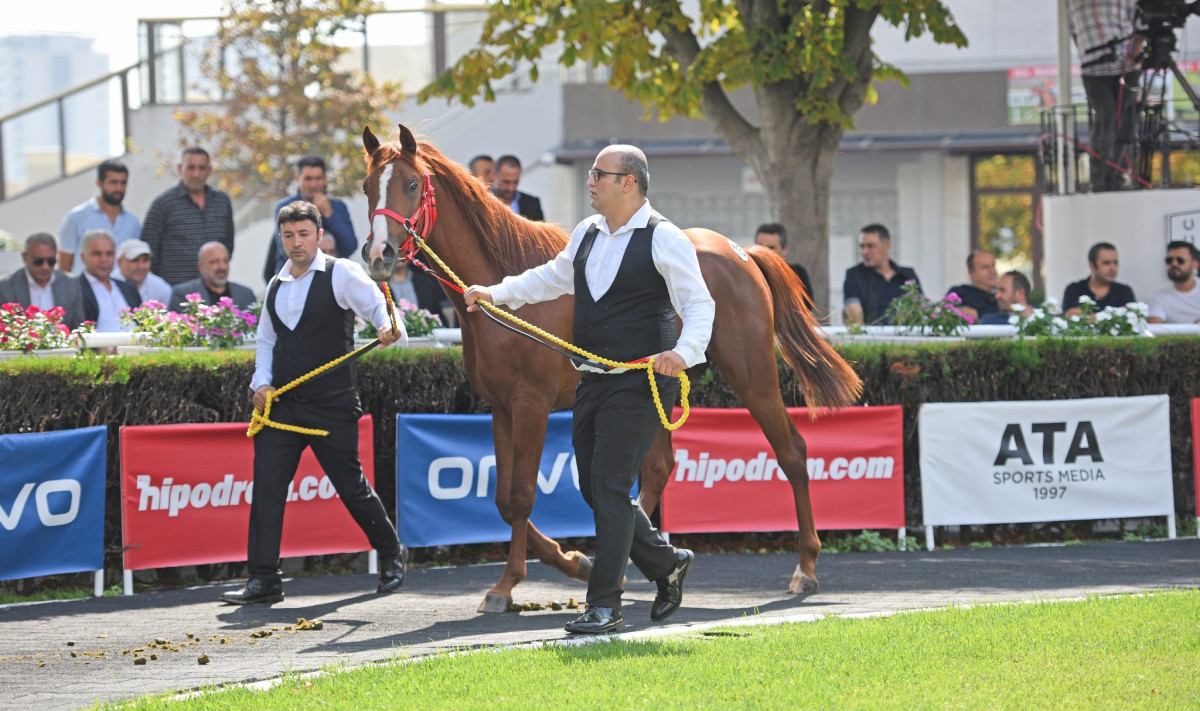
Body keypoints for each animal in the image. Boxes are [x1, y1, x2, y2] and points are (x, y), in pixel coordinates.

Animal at [357, 124, 864, 614]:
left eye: (412, 184)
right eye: (366, 186)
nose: (378, 255)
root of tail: (742, 253)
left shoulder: (530, 406)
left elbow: (521, 495)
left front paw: (508, 585)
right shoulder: (499, 408)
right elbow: (502, 499)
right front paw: (574, 561)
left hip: (751, 374)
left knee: (793, 452)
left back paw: (805, 568)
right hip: (660, 392)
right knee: (656, 469)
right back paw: (624, 564)